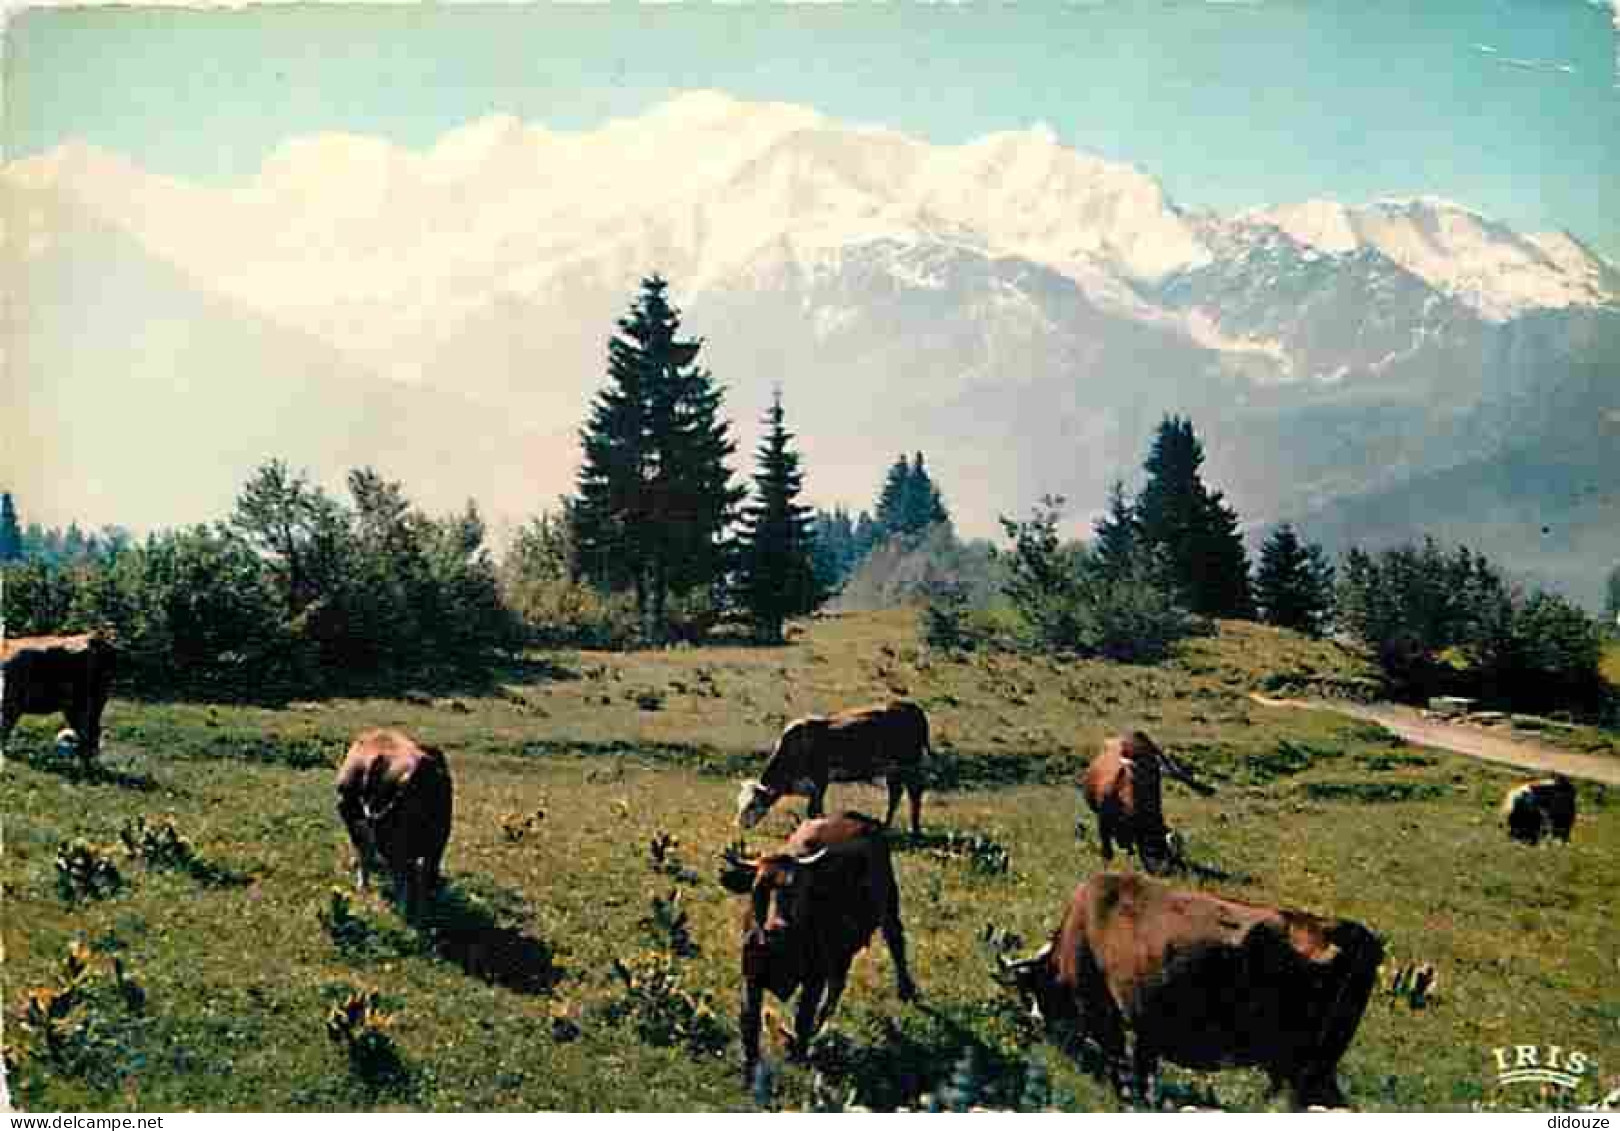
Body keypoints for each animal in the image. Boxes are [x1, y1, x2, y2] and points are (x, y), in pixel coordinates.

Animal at [719, 806, 920, 1082]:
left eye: (801, 889)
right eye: (758, 888)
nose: (775, 927)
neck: (782, 950)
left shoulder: (815, 977)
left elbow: (803, 1017)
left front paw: (798, 1056)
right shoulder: (751, 975)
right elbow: (749, 1022)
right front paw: (750, 1070)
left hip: (888, 904)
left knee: (896, 943)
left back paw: (906, 990)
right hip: (844, 949)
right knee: (837, 986)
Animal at [738, 699, 933, 829]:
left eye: (752, 804)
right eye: (740, 802)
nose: (739, 823)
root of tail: (909, 706)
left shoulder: (820, 779)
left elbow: (814, 810)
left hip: (909, 765)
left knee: (914, 793)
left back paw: (914, 830)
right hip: (893, 769)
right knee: (896, 794)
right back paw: (886, 824)